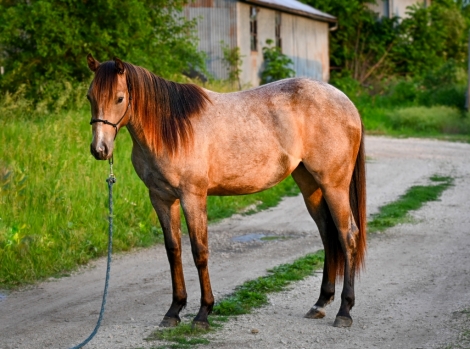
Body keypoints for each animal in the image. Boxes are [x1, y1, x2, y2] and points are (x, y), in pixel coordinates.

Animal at [86, 55, 366, 328]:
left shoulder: (193, 197)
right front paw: (174, 311)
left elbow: (199, 251)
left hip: (334, 186)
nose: (100, 149)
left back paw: (344, 311)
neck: (172, 130)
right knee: (328, 234)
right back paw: (320, 303)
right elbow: (173, 250)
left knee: (348, 236)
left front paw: (203, 313)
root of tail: (346, 102)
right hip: (311, 186)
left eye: (119, 98)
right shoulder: (161, 198)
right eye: (90, 97)